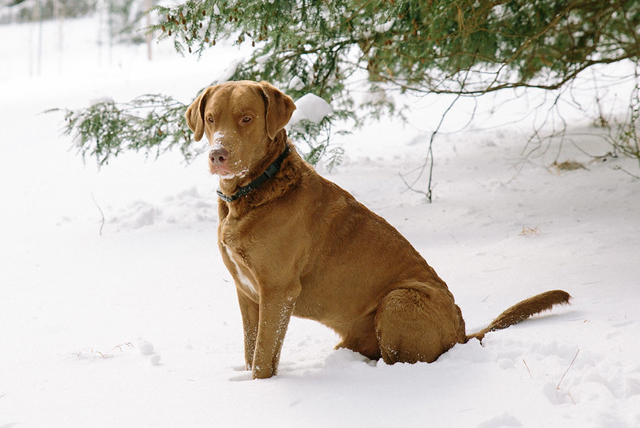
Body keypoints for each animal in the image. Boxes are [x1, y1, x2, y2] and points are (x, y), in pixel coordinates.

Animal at [185, 79, 568, 378]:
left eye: (246, 119)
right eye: (211, 119)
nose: (217, 155)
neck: (254, 192)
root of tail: (461, 334)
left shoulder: (278, 291)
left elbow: (264, 357)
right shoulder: (246, 290)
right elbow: (251, 349)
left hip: (399, 299)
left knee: (406, 360)